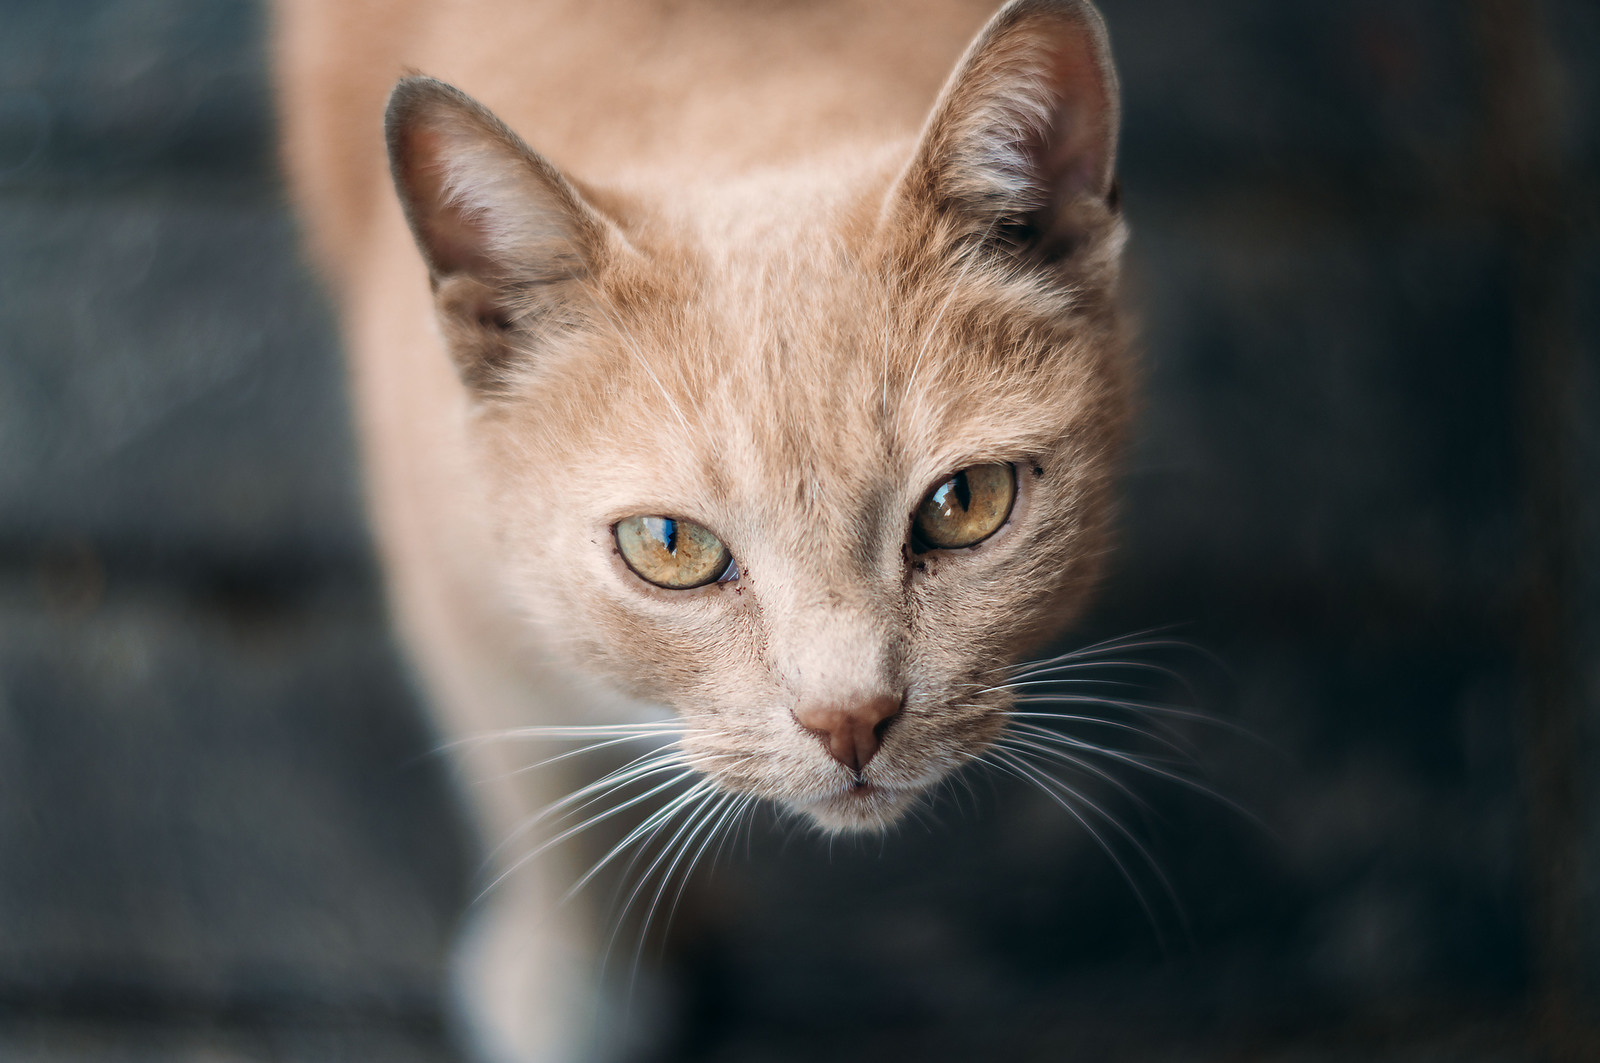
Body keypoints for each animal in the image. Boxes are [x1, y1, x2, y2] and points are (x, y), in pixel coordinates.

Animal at [278, 0, 1126, 1056]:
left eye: (962, 502)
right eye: (671, 547)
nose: (850, 717)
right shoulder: (462, 614)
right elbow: (539, 804)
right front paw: (581, 986)